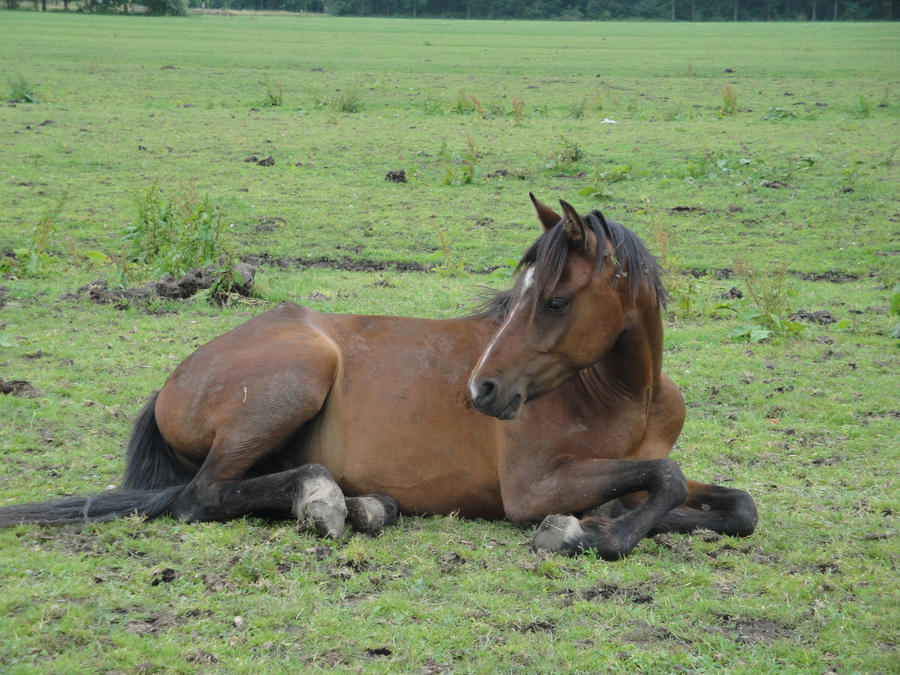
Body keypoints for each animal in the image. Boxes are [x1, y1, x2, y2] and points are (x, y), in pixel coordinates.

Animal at [0, 194, 757, 559]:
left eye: (555, 299)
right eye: (520, 294)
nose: (482, 390)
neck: (624, 394)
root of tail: (171, 382)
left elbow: (733, 504)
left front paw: (615, 520)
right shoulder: (533, 487)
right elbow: (663, 481)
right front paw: (586, 534)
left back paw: (361, 505)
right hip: (300, 373)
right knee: (202, 496)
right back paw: (324, 500)